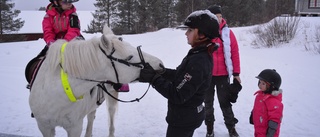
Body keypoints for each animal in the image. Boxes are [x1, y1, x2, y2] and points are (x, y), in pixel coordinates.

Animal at [28, 24, 162, 137]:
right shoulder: (44, 127)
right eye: (129, 57)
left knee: (110, 118)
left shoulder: (75, 127)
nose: (160, 64)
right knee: (91, 115)